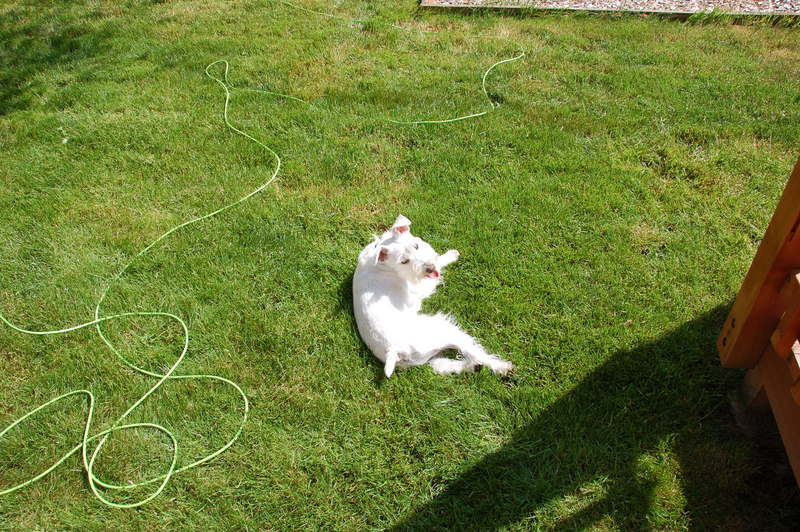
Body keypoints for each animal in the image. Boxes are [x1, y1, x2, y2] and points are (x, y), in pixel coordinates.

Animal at [353, 215, 514, 378]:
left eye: (416, 246)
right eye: (404, 261)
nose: (429, 268)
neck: (382, 264)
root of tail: (395, 351)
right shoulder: (421, 287)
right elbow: (439, 266)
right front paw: (449, 256)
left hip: (428, 357)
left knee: (444, 366)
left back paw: (474, 367)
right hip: (444, 330)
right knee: (474, 352)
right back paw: (502, 367)